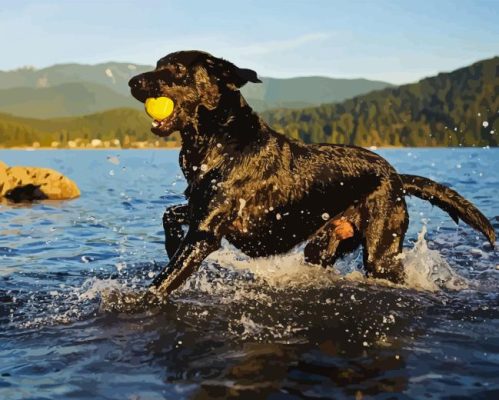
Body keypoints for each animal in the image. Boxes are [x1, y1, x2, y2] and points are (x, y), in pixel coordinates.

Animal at [129, 49, 496, 294]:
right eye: (157, 65)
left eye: (175, 68)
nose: (133, 81)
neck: (219, 140)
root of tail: (396, 177)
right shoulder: (199, 212)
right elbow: (169, 213)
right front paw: (169, 243)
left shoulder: (206, 233)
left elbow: (159, 287)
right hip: (322, 245)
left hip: (381, 254)